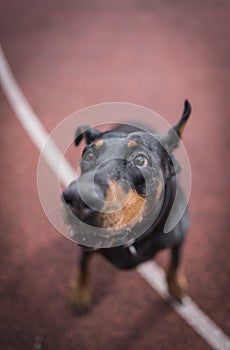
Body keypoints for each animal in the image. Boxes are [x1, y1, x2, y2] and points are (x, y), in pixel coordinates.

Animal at [62, 100, 191, 314]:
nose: (77, 199)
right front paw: (80, 291)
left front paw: (176, 285)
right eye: (89, 154)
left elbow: (175, 260)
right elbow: (83, 264)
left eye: (140, 160)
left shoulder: (177, 235)